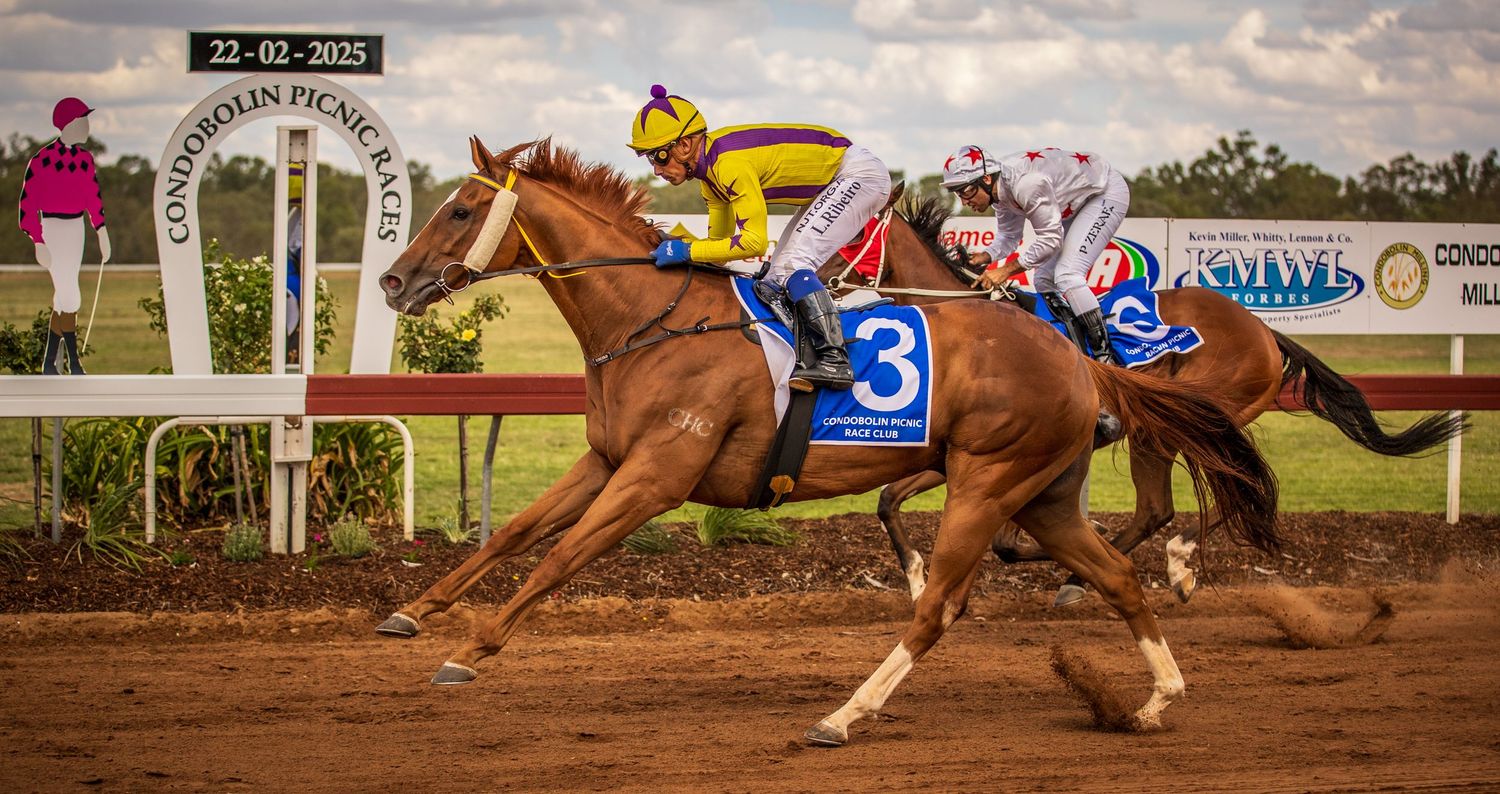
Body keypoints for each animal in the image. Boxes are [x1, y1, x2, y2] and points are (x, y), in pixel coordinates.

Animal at [375, 136, 1282, 744]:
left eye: (460, 210)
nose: (391, 280)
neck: (651, 318)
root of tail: (1074, 357)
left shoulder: (657, 475)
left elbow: (562, 557)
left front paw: (472, 650)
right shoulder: (606, 459)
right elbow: (518, 533)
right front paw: (414, 611)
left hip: (988, 480)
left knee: (939, 608)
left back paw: (845, 713)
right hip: (1045, 492)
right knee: (1116, 577)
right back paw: (1154, 698)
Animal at [823, 194, 1466, 605]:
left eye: (853, 233)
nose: (814, 275)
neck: (973, 326)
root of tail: (1263, 329)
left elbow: (999, 536)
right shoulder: (957, 445)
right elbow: (888, 499)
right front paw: (914, 579)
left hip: (1182, 423)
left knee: (1189, 500)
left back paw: (1161, 568)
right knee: (1164, 506)